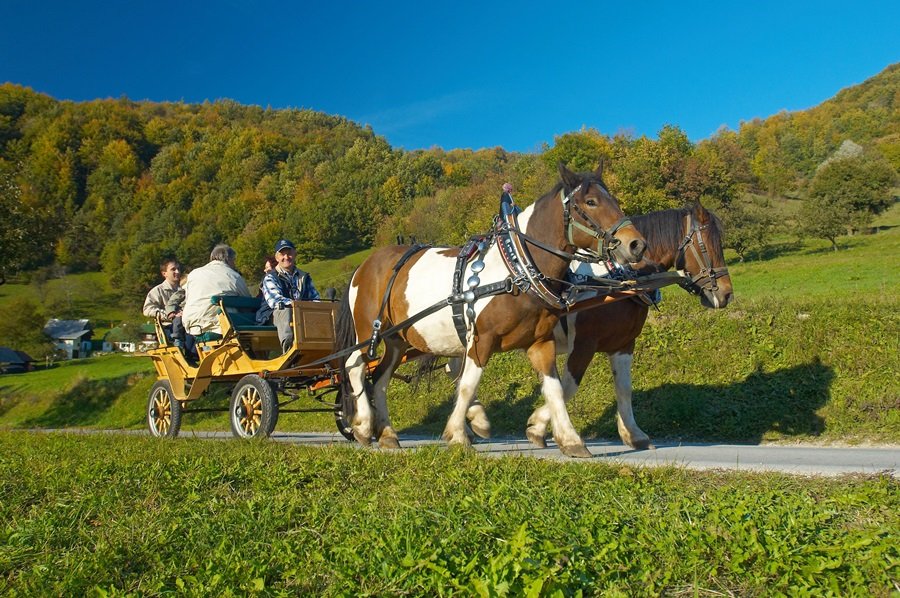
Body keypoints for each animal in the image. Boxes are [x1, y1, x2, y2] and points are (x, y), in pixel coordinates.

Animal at [338, 162, 648, 458]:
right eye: (591, 202)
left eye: (613, 199)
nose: (636, 244)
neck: (517, 267)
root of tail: (365, 264)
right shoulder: (481, 339)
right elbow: (468, 385)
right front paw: (458, 435)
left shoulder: (541, 342)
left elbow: (556, 389)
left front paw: (568, 439)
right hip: (370, 331)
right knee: (355, 365)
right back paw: (363, 426)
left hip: (397, 340)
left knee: (380, 379)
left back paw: (388, 434)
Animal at [520, 202, 732, 450]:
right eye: (706, 244)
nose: (727, 294)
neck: (617, 279)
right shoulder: (583, 345)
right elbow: (567, 388)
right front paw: (537, 425)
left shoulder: (624, 344)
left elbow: (624, 388)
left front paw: (633, 433)